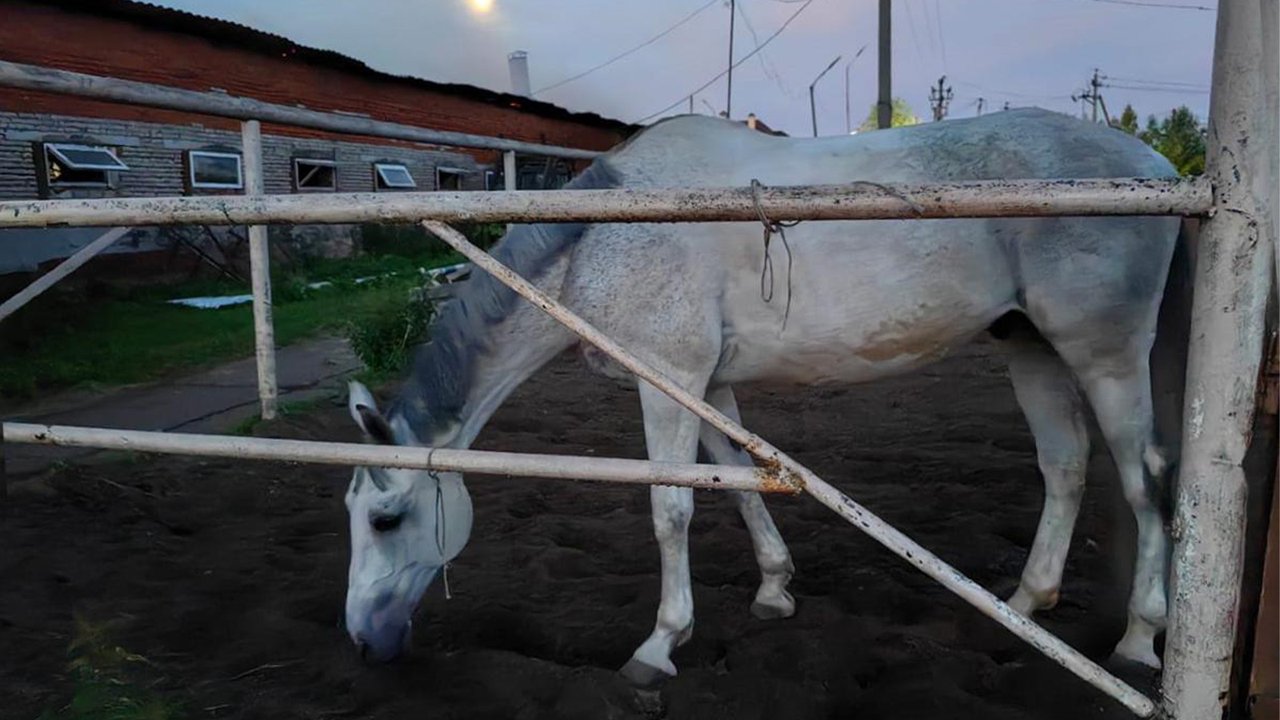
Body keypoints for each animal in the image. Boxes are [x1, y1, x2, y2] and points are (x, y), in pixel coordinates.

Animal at [343, 109, 1187, 681]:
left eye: (387, 520)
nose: (362, 640)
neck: (602, 236)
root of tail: (1161, 170)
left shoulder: (669, 381)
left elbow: (671, 508)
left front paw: (659, 645)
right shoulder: (706, 385)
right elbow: (740, 483)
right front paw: (775, 590)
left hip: (1105, 356)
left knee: (1143, 478)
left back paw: (1139, 639)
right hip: (1030, 346)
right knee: (1065, 466)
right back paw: (1026, 603)